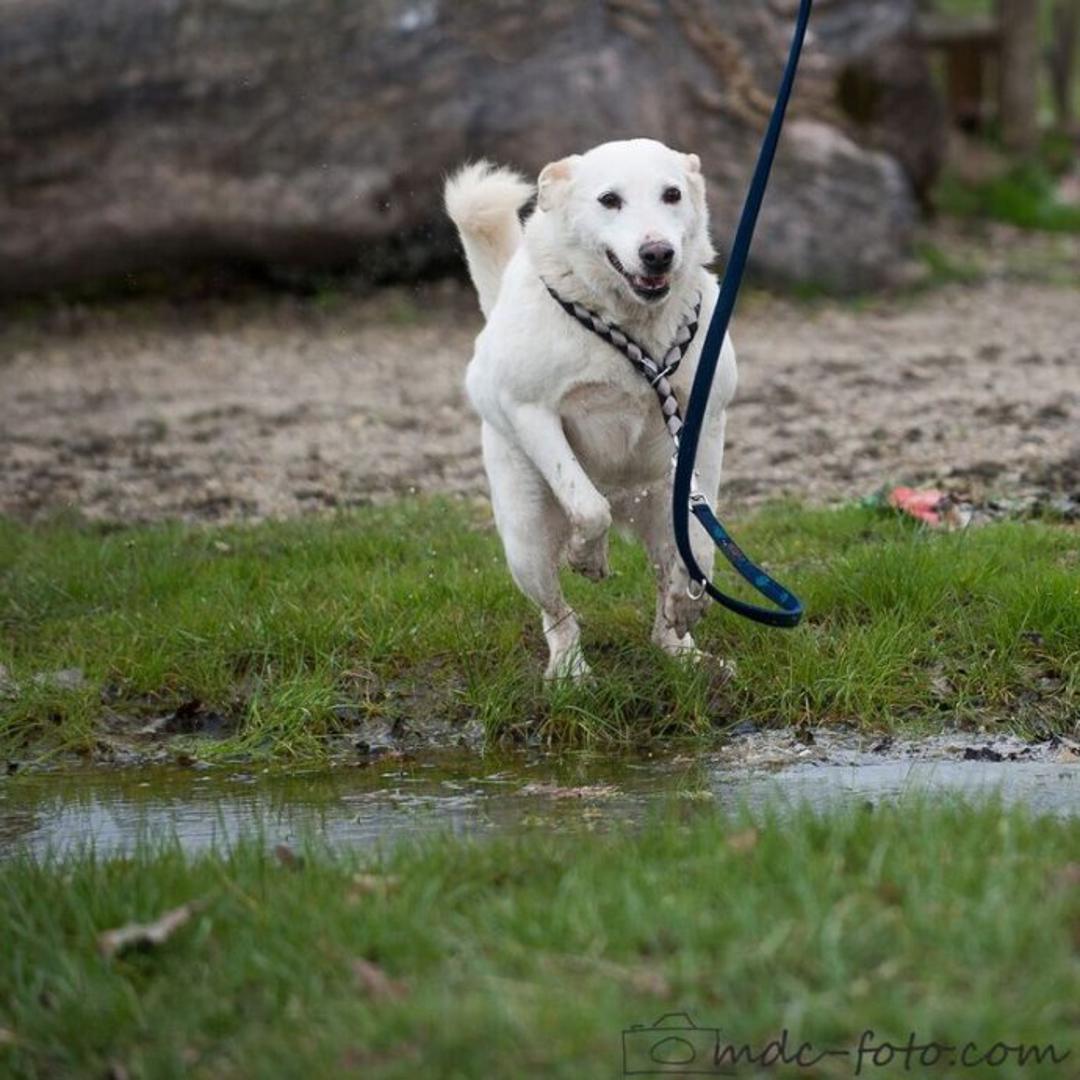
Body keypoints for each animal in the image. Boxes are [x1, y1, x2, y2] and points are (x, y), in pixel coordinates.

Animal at [445, 138, 735, 680]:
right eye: (609, 200)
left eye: (672, 194)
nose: (658, 254)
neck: (631, 327)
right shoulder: (533, 413)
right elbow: (587, 504)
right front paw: (588, 556)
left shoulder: (705, 423)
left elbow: (702, 540)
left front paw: (691, 599)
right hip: (526, 542)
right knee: (558, 612)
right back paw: (570, 671)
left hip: (658, 513)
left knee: (666, 590)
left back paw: (684, 649)